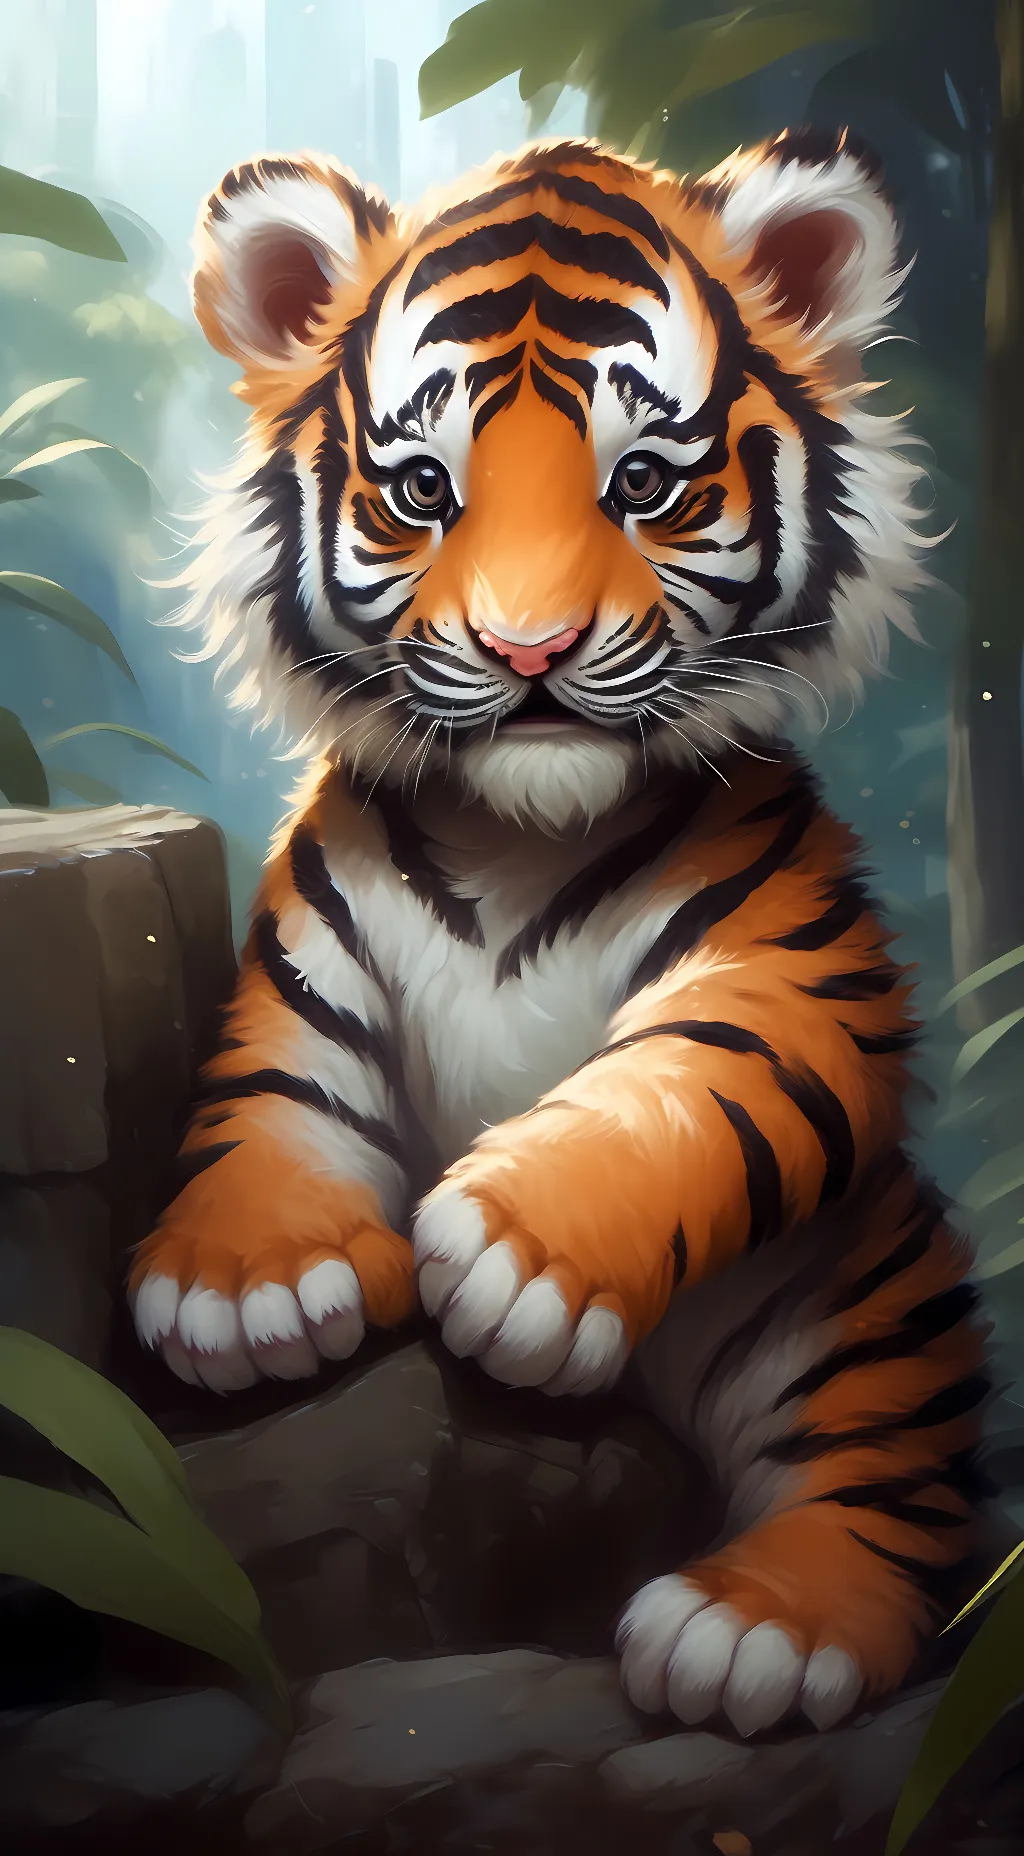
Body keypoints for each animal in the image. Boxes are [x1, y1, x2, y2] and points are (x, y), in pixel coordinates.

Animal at [130, 128, 988, 1740]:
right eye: (420, 489)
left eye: (642, 482)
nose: (528, 651)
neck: (519, 831)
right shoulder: (305, 961)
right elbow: (273, 1097)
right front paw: (251, 1283)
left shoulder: (793, 973)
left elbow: (689, 1084)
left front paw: (512, 1256)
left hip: (856, 1301)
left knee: (870, 1481)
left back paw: (753, 1630)